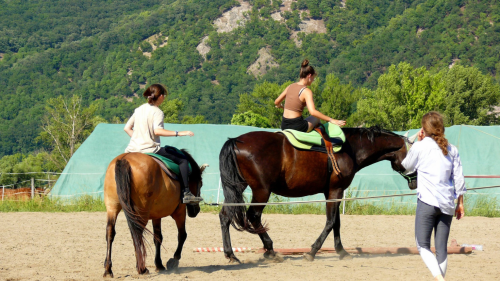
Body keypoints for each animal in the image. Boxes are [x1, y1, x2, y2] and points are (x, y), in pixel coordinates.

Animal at [219, 126, 418, 262]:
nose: (415, 181)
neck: (350, 149)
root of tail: (235, 141)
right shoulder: (336, 191)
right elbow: (330, 222)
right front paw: (312, 251)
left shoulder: (332, 192)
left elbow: (336, 223)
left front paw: (342, 251)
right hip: (262, 191)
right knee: (253, 216)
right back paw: (271, 250)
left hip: (239, 188)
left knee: (225, 215)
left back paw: (231, 255)